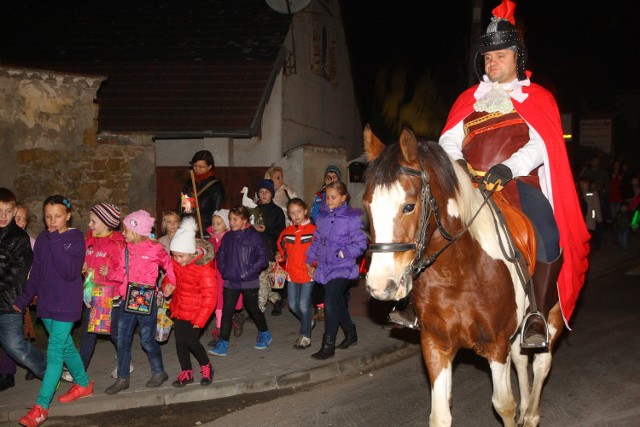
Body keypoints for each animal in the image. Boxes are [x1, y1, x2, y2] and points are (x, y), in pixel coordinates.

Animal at [362, 127, 564, 427]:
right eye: (367, 206)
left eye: (409, 206)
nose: (380, 286)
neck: (457, 274)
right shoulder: (435, 343)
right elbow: (440, 414)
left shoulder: (495, 345)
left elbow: (504, 405)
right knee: (521, 358)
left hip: (554, 312)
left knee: (542, 363)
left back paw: (531, 414)